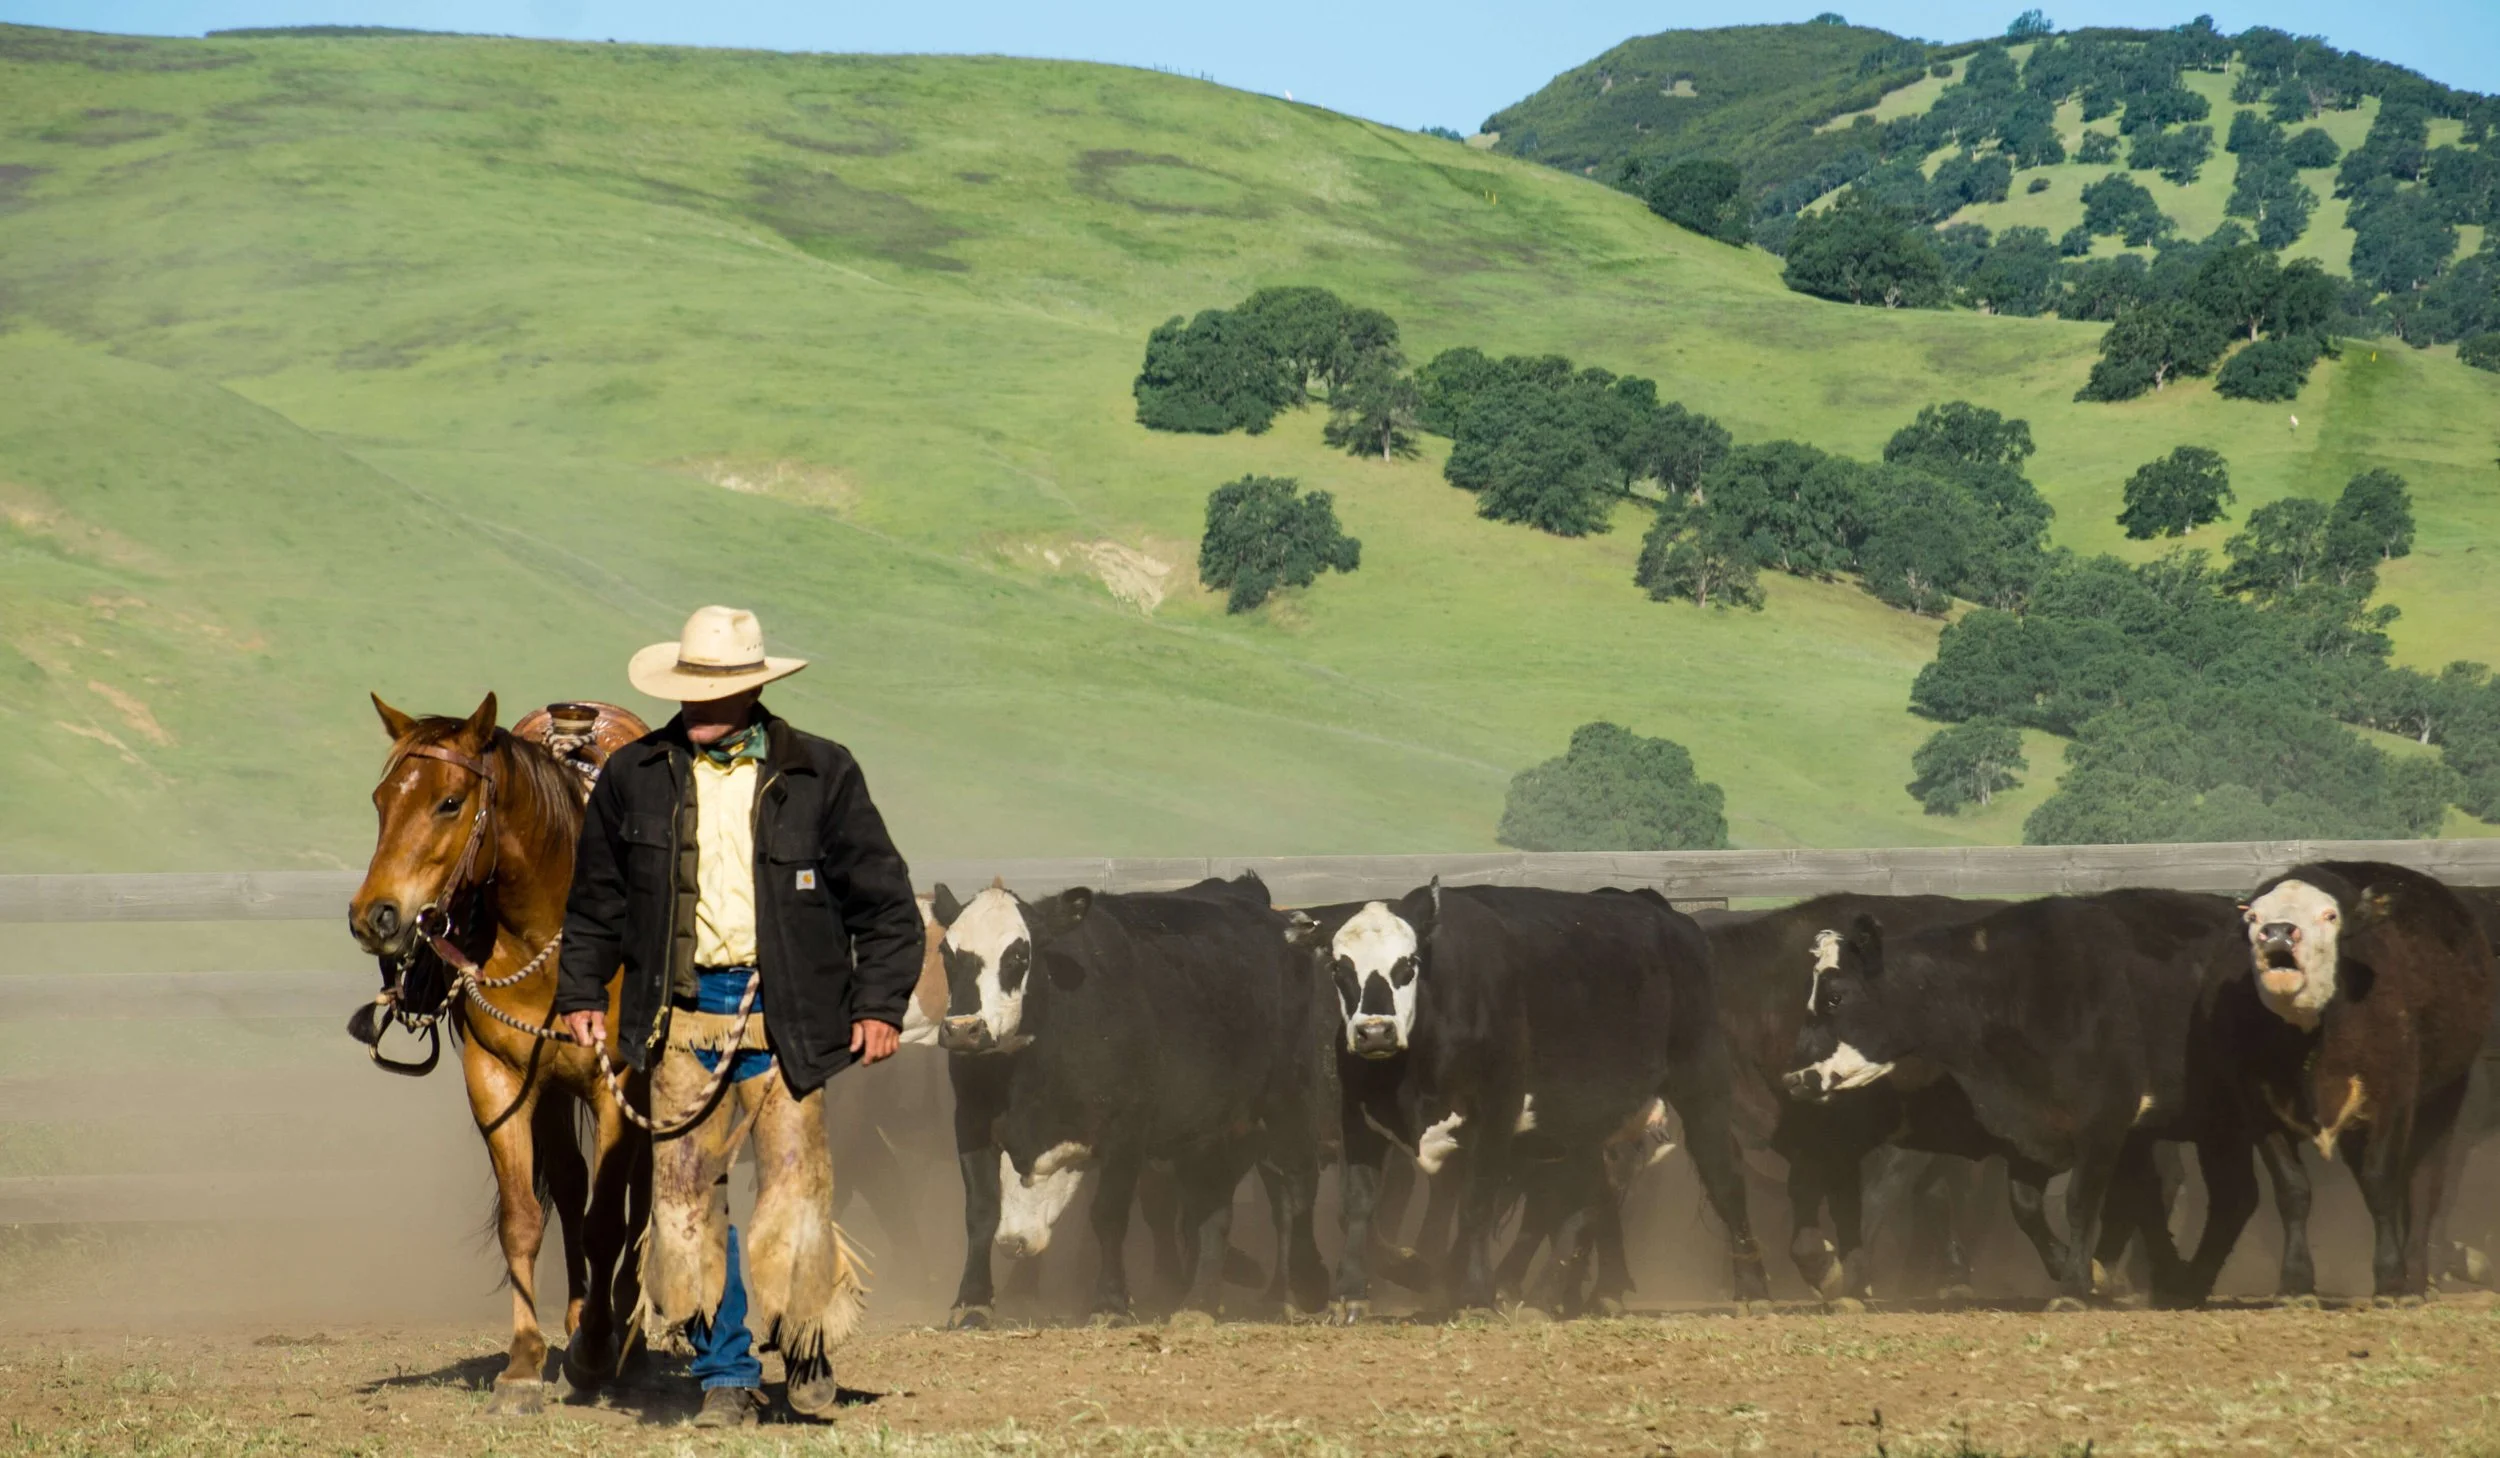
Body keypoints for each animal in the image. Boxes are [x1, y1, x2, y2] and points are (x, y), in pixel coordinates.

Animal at [347, 691, 649, 1413]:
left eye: (449, 802)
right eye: (380, 799)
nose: (374, 916)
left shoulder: (617, 1085)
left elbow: (608, 1219)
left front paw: (597, 1351)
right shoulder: (498, 1079)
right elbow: (524, 1218)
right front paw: (524, 1363)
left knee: (643, 1195)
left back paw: (629, 1331)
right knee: (568, 1184)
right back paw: (578, 1316)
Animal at [992, 873, 1337, 1323]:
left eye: (1043, 1168)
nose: (1010, 1243)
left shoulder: (1127, 1134)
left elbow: (1108, 1215)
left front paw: (1110, 1303)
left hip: (1286, 1100)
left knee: (1295, 1185)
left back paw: (1305, 1285)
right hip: (1218, 1132)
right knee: (1214, 1209)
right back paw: (1200, 1301)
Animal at [1290, 883, 1769, 1320]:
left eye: (1407, 965)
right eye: (1339, 968)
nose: (1374, 1032)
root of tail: (1661, 911)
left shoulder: (1494, 1118)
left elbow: (1476, 1203)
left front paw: (1471, 1294)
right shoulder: (1357, 1121)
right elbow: (1359, 1205)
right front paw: (1354, 1292)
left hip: (1702, 1085)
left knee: (1723, 1174)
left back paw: (1752, 1287)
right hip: (1585, 1127)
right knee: (1590, 1193)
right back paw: (1556, 1292)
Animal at [1787, 889, 2263, 1307]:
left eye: (1835, 996)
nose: (1793, 1079)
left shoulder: (2104, 1122)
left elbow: (2079, 1203)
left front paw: (2072, 1288)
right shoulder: (2030, 1130)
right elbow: (2026, 1207)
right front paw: (2077, 1269)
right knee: (2227, 1197)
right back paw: (2184, 1284)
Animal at [2237, 862, 2498, 1299]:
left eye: (2330, 916)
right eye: (2253, 917)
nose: (2276, 932)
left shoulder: (2393, 1099)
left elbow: (2381, 1184)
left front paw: (2392, 1281)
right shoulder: (2261, 1108)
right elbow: (2292, 1190)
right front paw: (2295, 1282)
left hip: (2443, 1100)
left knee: (2422, 1186)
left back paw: (2416, 1276)